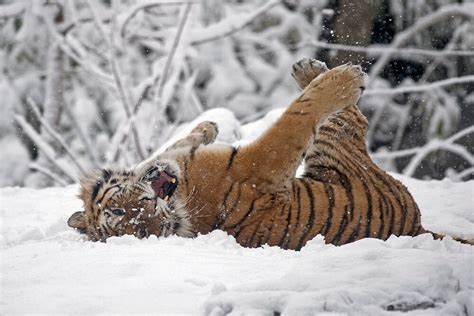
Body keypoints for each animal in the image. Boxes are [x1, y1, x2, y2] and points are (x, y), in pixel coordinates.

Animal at [66, 58, 470, 248]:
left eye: (120, 210)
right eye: (139, 234)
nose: (153, 212)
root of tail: (417, 227)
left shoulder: (172, 160)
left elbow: (173, 144)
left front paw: (206, 126)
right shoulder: (260, 164)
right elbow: (298, 115)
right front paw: (338, 82)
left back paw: (308, 67)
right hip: (335, 155)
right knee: (351, 118)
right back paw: (335, 73)